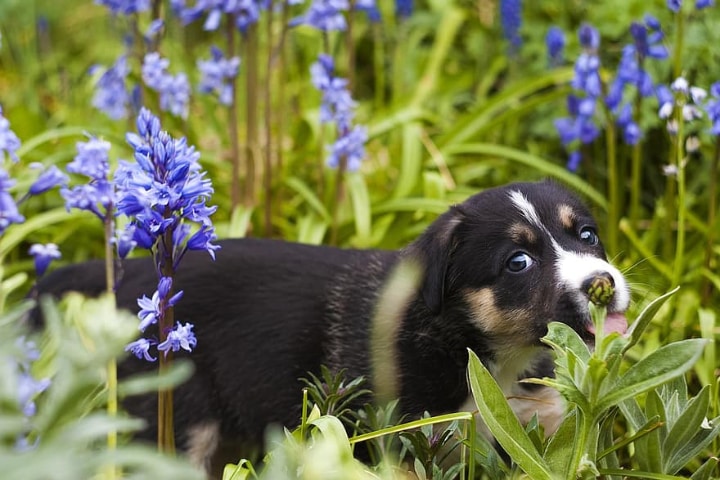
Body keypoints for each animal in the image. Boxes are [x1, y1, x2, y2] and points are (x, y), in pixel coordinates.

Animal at [31, 182, 628, 474]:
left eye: (587, 235)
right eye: (517, 263)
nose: (604, 283)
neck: (484, 354)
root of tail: (136, 276)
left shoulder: (538, 429)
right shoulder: (397, 443)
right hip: (178, 420)